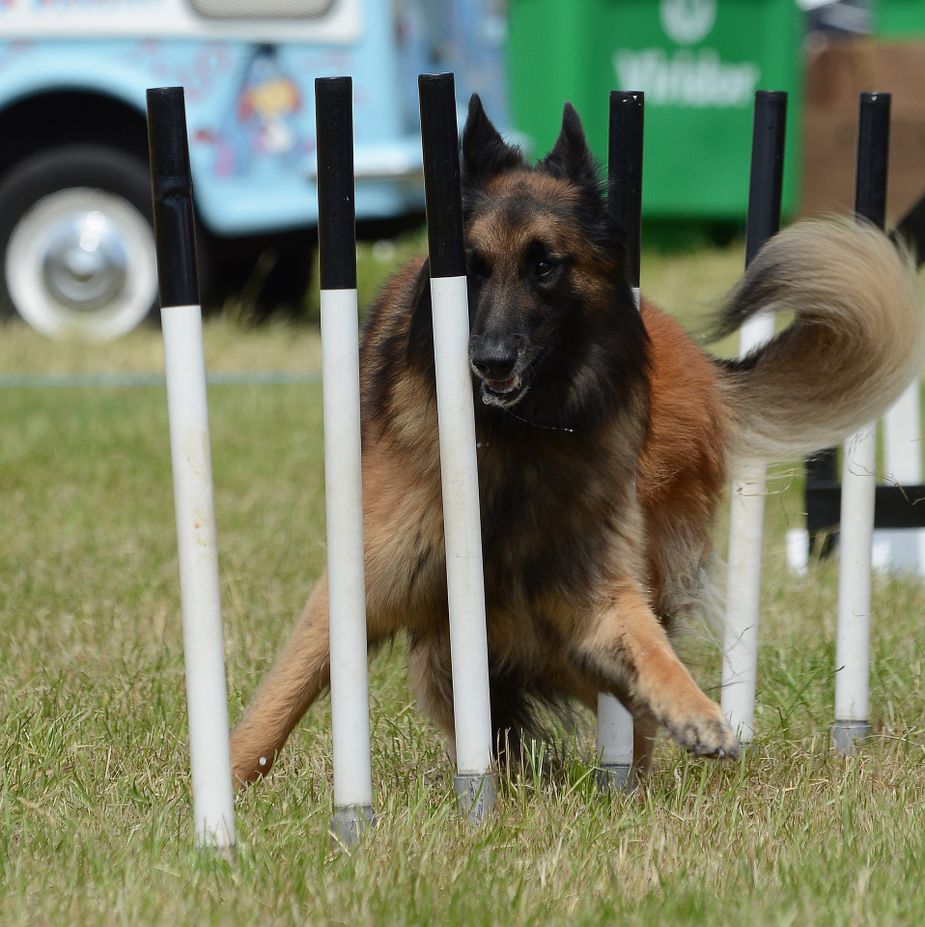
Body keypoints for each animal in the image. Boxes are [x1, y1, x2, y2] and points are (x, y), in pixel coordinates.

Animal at [227, 96, 920, 784]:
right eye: (471, 270)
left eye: (544, 266)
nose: (490, 361)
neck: (520, 438)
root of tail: (702, 365)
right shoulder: (367, 581)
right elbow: (281, 699)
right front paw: (224, 793)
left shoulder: (594, 590)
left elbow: (651, 649)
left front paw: (698, 714)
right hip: (459, 652)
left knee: (627, 703)